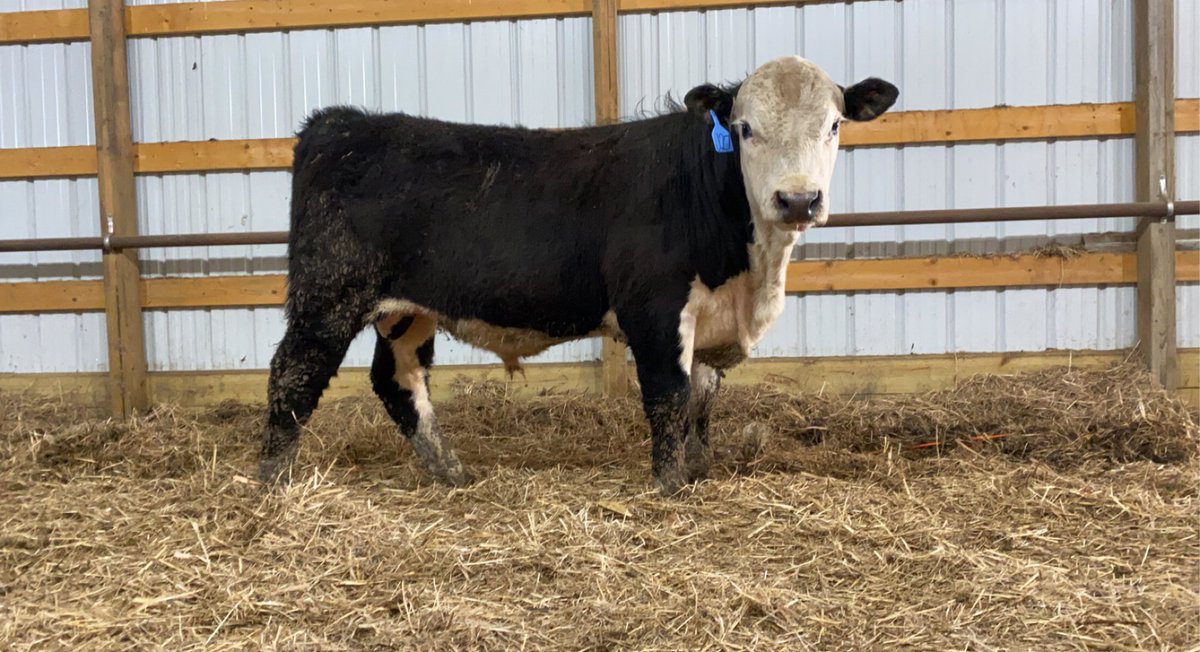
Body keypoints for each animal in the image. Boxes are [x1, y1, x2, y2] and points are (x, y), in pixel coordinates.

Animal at [258, 55, 898, 495]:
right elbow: (669, 397)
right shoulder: (654, 309)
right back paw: (273, 481)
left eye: (834, 125)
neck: (750, 276)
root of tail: (339, 125)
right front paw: (670, 486)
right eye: (744, 129)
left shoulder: (711, 323)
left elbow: (702, 401)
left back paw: (451, 471)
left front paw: (699, 473)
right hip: (329, 294)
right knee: (293, 375)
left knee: (398, 380)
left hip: (407, 309)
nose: (798, 199)